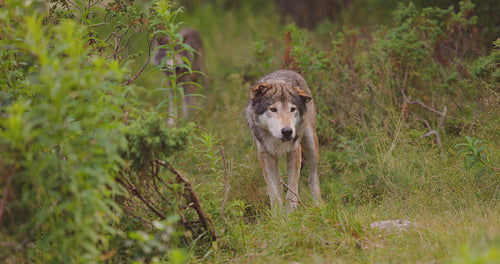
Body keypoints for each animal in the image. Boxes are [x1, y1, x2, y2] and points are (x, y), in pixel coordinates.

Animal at [244, 70, 322, 210]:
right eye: (273, 109)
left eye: (292, 109)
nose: (287, 131)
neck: (277, 142)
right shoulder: (265, 155)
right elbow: (274, 193)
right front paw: (278, 215)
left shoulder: (294, 152)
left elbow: (291, 191)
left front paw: (291, 214)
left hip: (311, 146)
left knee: (313, 177)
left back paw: (319, 206)